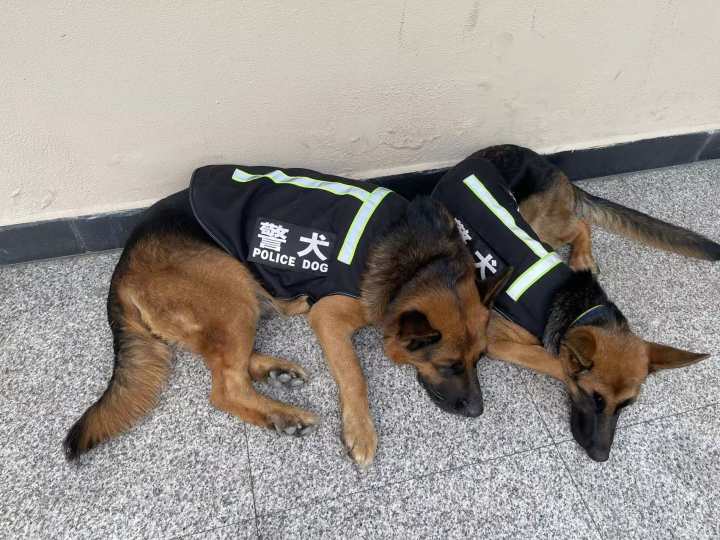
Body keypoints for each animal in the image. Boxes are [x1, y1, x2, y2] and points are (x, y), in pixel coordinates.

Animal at [63, 164, 510, 467]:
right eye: (448, 365)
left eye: (480, 360)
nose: (477, 412)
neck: (421, 265)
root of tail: (124, 263)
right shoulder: (330, 317)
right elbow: (354, 376)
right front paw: (360, 431)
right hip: (230, 285)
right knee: (224, 387)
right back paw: (283, 414)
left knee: (232, 358)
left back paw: (276, 365)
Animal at [427, 147, 716, 461]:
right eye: (595, 397)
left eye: (626, 405)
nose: (601, 456)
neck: (580, 309)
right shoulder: (495, 340)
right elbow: (553, 361)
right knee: (578, 223)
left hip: (538, 225)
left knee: (580, 223)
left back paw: (582, 258)